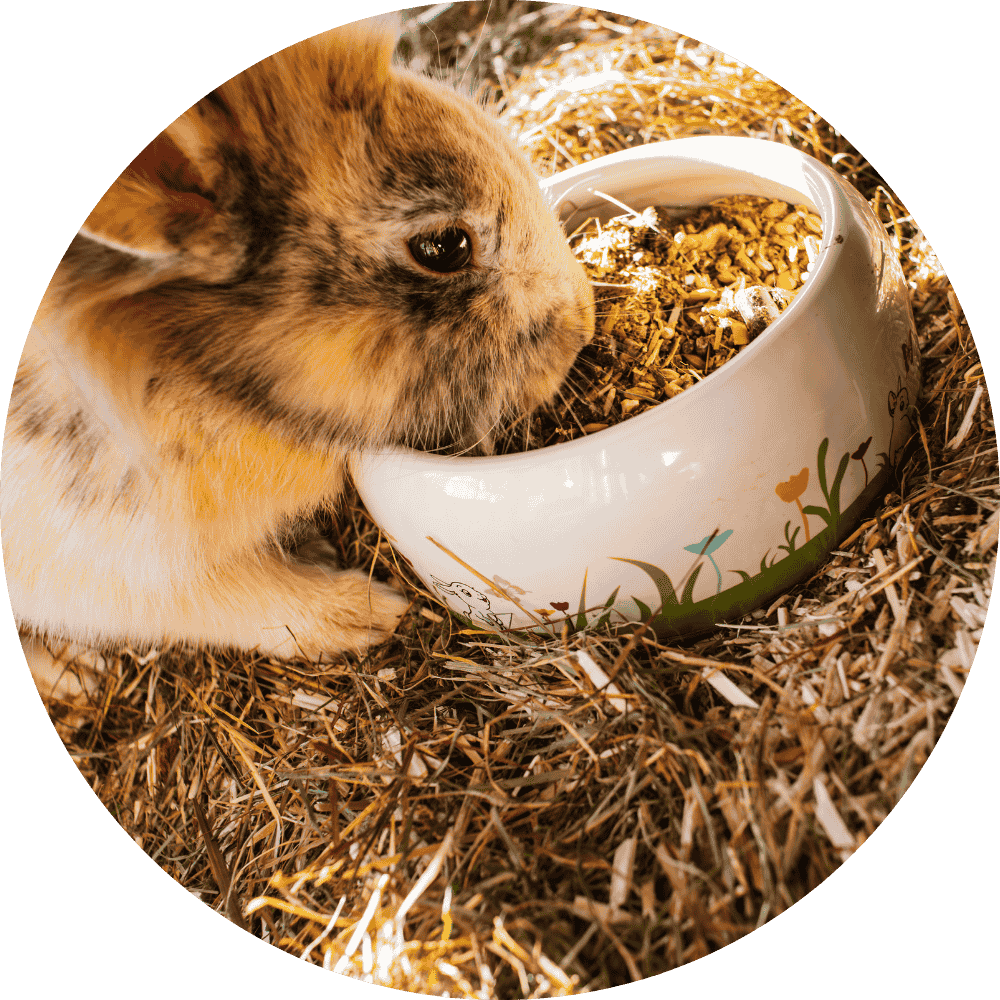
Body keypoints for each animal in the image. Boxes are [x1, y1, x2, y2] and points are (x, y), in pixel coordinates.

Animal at [1, 14, 595, 665]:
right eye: (444, 246)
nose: (584, 326)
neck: (185, 376)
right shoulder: (100, 563)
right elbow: (220, 596)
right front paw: (369, 614)